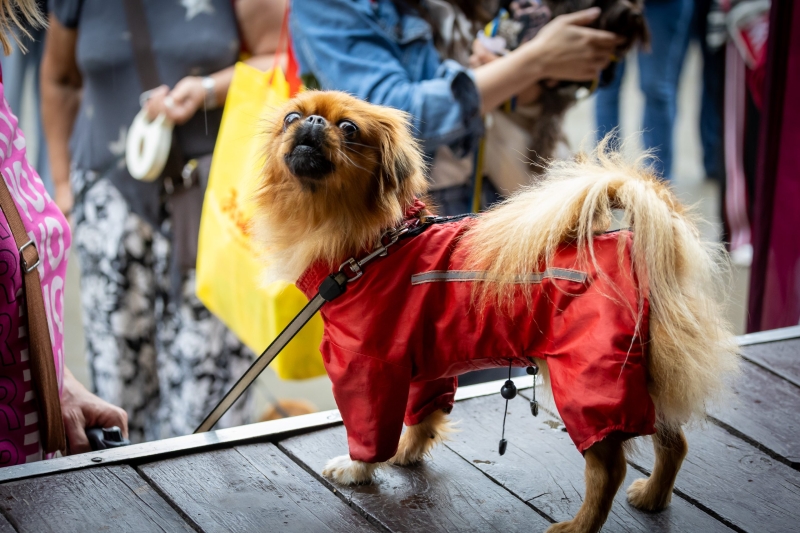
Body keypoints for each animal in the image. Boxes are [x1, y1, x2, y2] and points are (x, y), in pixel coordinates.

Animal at [253, 91, 740, 532]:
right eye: (292, 117)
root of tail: (637, 253)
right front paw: (407, 454)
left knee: (609, 469)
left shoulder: (368, 371)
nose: (312, 121)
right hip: (644, 379)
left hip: (590, 385)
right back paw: (654, 497)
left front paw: (358, 470)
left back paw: (578, 526)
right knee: (674, 443)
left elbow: (370, 436)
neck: (373, 246)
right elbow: (422, 417)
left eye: (350, 129)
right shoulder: (428, 365)